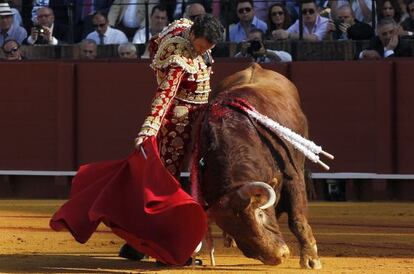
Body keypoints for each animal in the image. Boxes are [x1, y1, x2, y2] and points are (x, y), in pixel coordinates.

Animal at [199, 63, 326, 268]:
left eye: (260, 214)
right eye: (232, 227)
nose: (277, 256)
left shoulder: (293, 176)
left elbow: (297, 219)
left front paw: (311, 259)